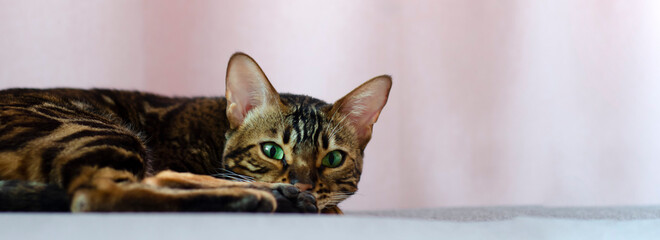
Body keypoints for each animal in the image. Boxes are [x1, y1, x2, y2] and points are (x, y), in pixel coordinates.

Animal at [0, 53, 392, 214]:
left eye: (334, 158)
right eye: (272, 151)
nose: (305, 184)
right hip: (98, 129)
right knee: (96, 194)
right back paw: (261, 199)